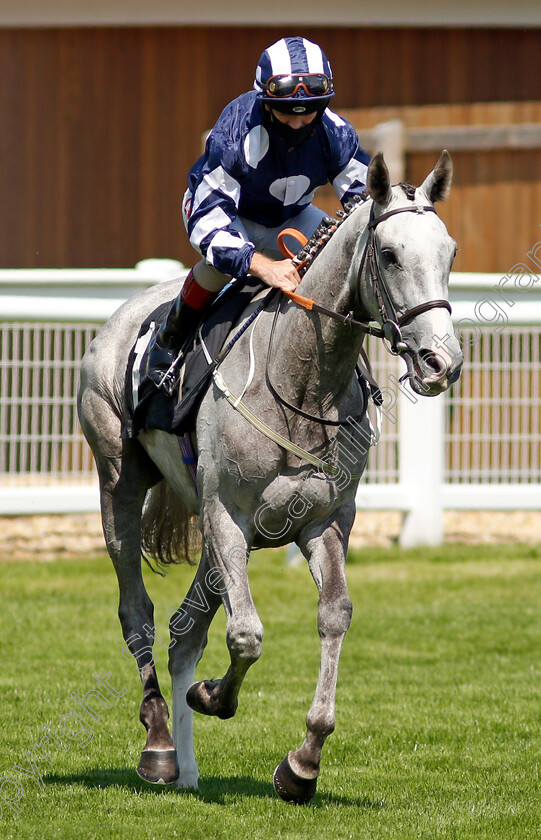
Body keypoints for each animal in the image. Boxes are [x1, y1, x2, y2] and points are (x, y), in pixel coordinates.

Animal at [78, 149, 462, 800]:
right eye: (389, 254)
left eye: (450, 253)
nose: (442, 362)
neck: (301, 378)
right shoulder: (227, 516)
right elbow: (247, 634)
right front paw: (214, 696)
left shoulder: (324, 520)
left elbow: (333, 615)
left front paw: (303, 763)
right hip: (120, 486)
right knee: (139, 613)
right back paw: (160, 742)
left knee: (184, 631)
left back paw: (187, 770)